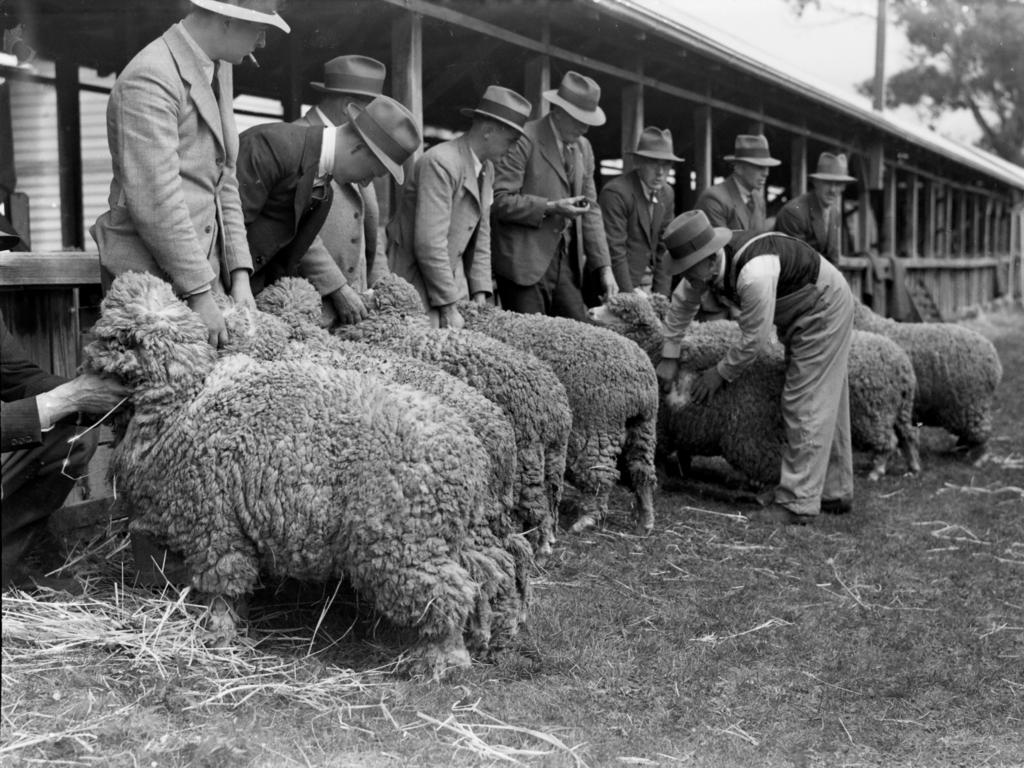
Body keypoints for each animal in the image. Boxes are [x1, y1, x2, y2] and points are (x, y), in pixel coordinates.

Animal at [88, 272, 532, 679]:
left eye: (112, 338)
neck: (188, 399)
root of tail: (471, 451)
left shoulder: (214, 527)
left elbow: (222, 585)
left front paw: (218, 634)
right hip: (458, 532)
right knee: (494, 571)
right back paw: (494, 637)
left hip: (403, 543)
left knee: (447, 594)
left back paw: (441, 662)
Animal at [454, 301, 655, 536]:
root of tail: (642, 378)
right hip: (644, 426)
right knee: (641, 470)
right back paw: (646, 519)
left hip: (599, 427)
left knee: (600, 475)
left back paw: (586, 519)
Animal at [593, 294, 921, 487]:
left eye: (618, 311)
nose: (591, 310)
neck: (652, 345)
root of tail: (904, 366)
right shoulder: (684, 424)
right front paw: (681, 469)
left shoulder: (666, 423)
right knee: (906, 435)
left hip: (760, 430)